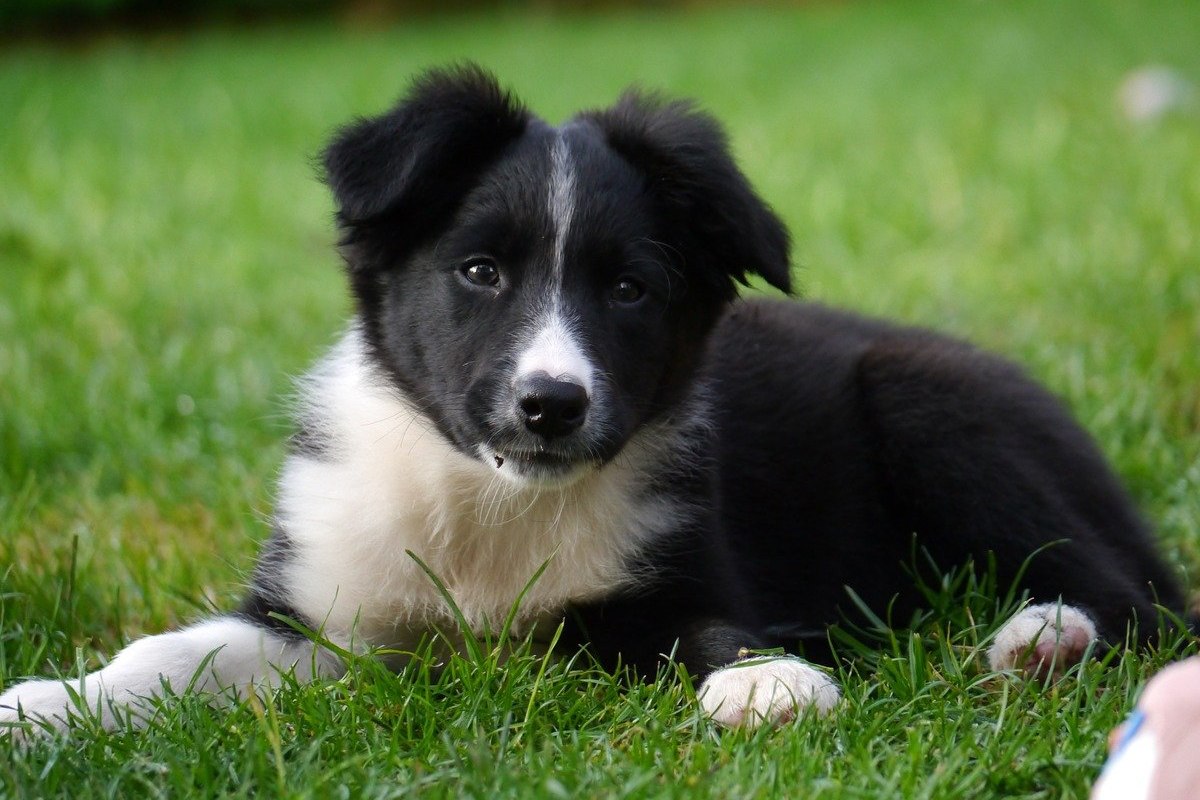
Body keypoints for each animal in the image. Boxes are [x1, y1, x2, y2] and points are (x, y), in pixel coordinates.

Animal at [0, 65, 1185, 734]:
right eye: (479, 271)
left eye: (629, 289)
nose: (550, 406)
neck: (489, 505)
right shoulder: (321, 612)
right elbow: (176, 651)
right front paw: (52, 704)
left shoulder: (668, 583)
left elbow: (698, 629)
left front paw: (770, 682)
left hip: (929, 404)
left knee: (1143, 601)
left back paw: (1040, 641)